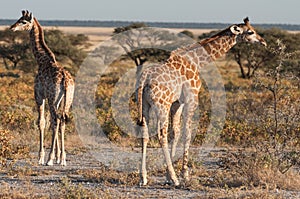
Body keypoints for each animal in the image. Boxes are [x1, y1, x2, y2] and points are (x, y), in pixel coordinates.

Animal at [10, 10, 74, 166]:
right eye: (19, 19)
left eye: (23, 22)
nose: (12, 28)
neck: (42, 60)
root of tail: (65, 80)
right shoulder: (54, 99)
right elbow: (51, 122)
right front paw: (58, 157)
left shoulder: (39, 96)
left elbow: (42, 122)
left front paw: (41, 157)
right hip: (67, 100)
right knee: (61, 121)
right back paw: (63, 159)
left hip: (52, 98)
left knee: (56, 120)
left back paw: (49, 159)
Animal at [137, 17, 268, 186]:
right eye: (250, 32)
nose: (263, 42)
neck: (196, 61)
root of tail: (144, 79)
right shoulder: (191, 98)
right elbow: (187, 133)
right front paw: (183, 174)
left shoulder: (177, 103)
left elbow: (176, 132)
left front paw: (167, 176)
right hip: (161, 105)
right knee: (161, 135)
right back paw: (174, 178)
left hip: (145, 105)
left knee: (145, 134)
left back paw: (143, 178)